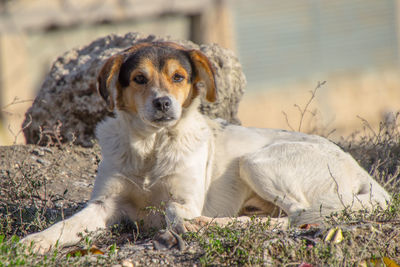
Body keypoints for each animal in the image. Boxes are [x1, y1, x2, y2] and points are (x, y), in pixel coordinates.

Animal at [20, 41, 390, 253]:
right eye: (139, 79)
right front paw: (33, 243)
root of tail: (364, 176)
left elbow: (174, 214)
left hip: (257, 161)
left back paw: (216, 224)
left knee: (296, 216)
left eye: (178, 77)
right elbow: (65, 225)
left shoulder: (183, 200)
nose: (163, 103)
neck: (151, 148)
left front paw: (186, 225)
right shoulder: (104, 203)